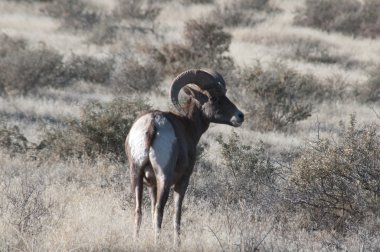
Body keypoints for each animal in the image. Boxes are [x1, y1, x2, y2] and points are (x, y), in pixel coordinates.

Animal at [124, 68, 243, 243]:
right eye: (213, 98)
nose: (240, 116)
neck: (188, 126)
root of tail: (153, 123)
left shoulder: (151, 185)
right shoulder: (183, 181)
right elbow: (177, 213)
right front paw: (177, 243)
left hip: (136, 174)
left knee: (139, 210)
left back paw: (136, 240)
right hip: (164, 178)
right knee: (159, 209)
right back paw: (157, 243)